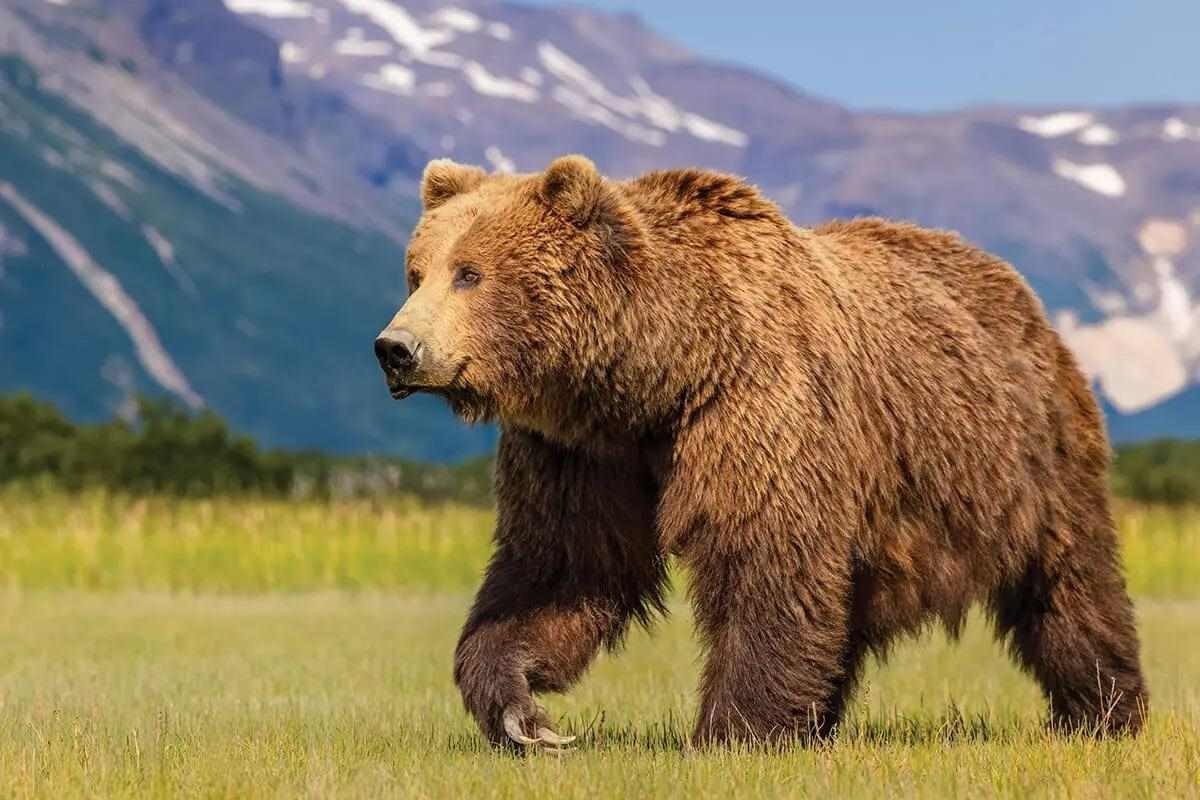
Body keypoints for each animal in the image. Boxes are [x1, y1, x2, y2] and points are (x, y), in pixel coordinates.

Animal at [374, 154, 1148, 749]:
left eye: (470, 273)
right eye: (417, 271)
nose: (396, 348)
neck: (661, 375)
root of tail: (1013, 285)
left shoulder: (756, 403)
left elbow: (766, 558)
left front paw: (731, 733)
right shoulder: (581, 451)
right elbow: (562, 567)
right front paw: (522, 713)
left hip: (1027, 452)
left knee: (1069, 579)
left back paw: (1102, 711)